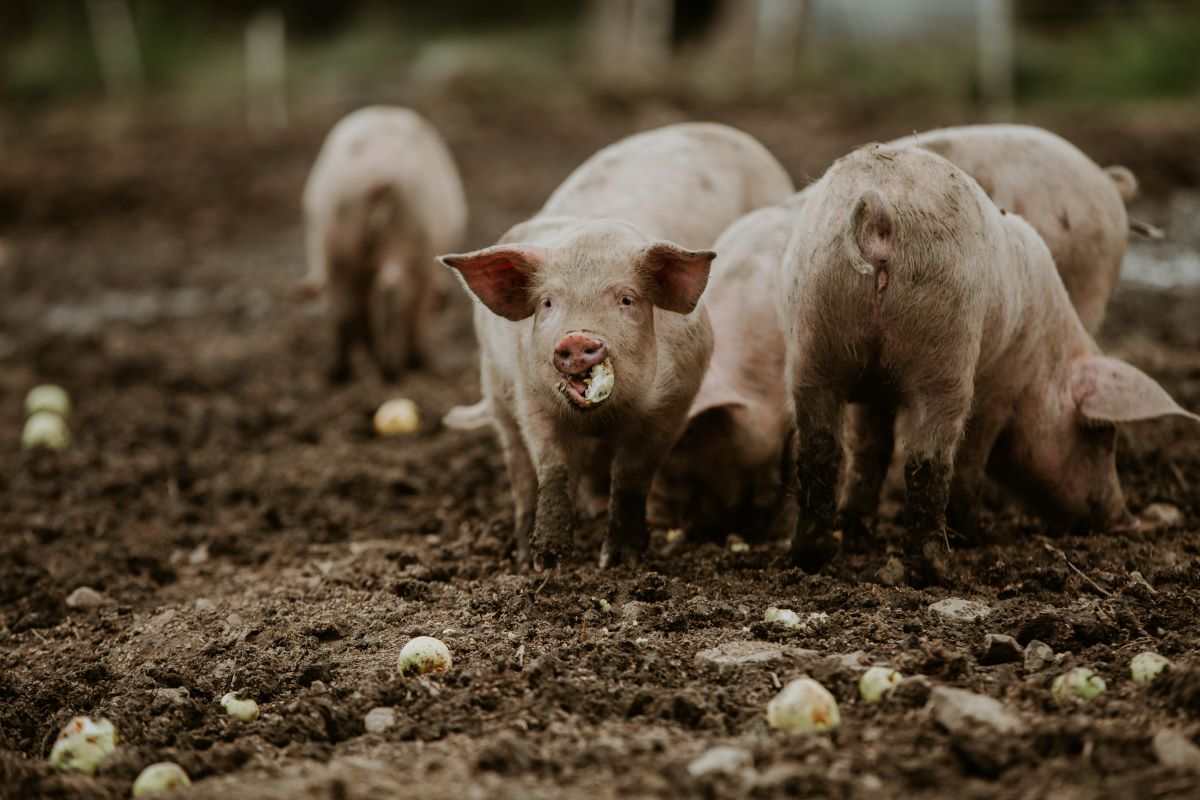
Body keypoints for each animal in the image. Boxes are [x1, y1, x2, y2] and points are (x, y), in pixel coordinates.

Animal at [302, 105, 465, 381]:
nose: (444, 303)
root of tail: (380, 175)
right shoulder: (427, 267)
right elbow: (417, 309)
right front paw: (417, 361)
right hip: (414, 234)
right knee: (394, 290)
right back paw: (398, 367)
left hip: (334, 234)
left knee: (343, 302)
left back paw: (340, 374)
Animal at [436, 122, 792, 566]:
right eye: (548, 303)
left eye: (626, 300)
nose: (577, 336)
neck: (602, 417)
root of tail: (722, 131)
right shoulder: (528, 393)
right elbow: (553, 467)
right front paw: (548, 563)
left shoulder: (675, 402)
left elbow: (631, 474)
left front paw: (620, 562)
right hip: (495, 389)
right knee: (519, 468)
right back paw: (521, 550)